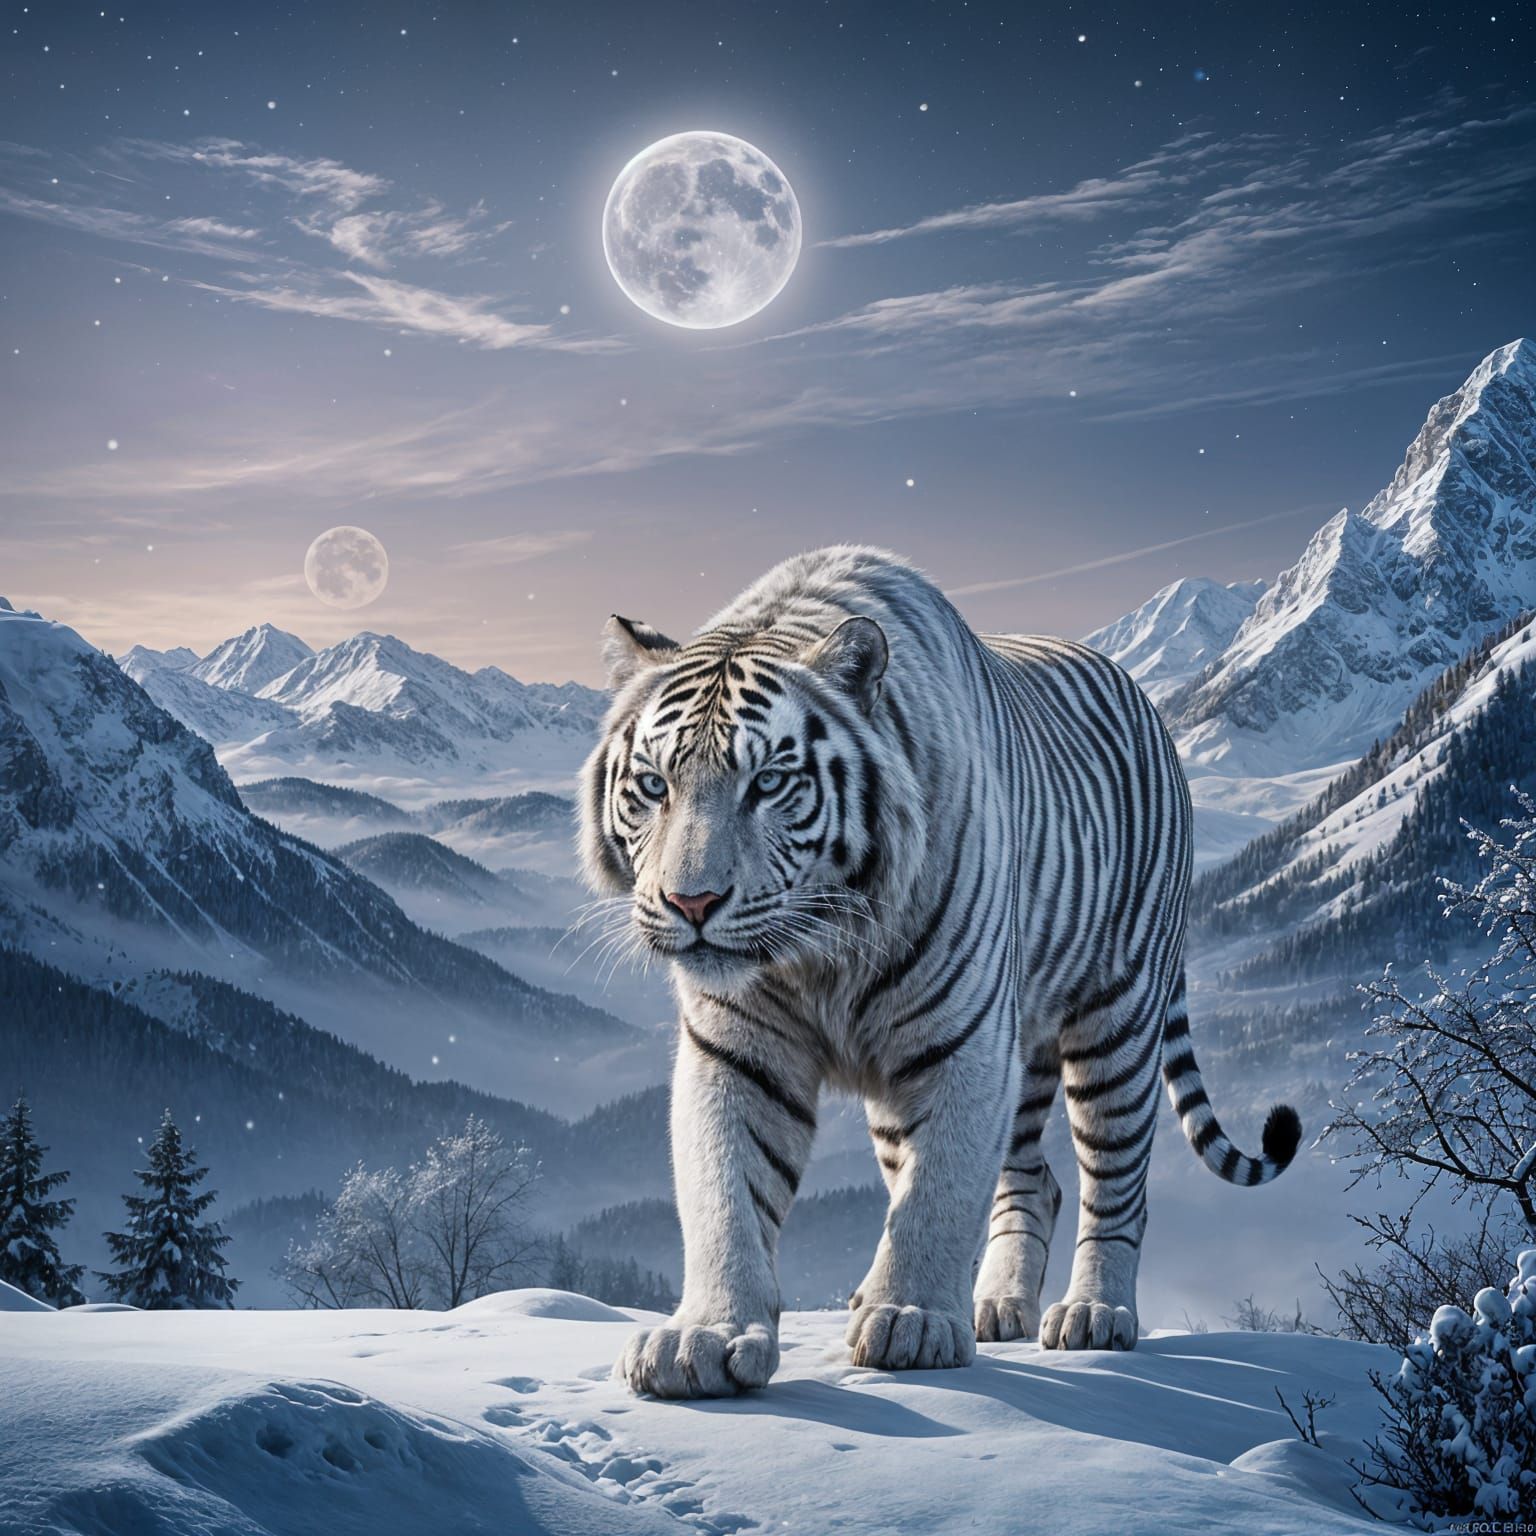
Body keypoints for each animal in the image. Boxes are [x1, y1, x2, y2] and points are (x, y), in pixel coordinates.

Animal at [578, 545, 1300, 1398]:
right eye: (654, 785)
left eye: (769, 783)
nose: (691, 902)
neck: (820, 951)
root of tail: (1141, 697)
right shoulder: (738, 1047)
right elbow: (725, 1191)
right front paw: (705, 1337)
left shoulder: (964, 1042)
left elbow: (938, 1189)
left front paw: (912, 1321)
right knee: (1034, 1179)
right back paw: (995, 1306)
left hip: (1116, 1022)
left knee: (1115, 1182)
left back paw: (1095, 1315)